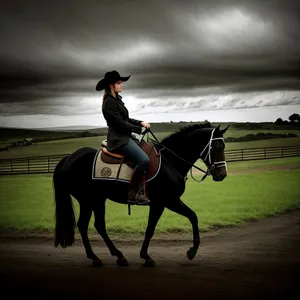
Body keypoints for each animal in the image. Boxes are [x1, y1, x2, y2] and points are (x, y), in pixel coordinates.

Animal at [52, 123, 229, 266]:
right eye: (216, 148)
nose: (222, 174)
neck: (169, 161)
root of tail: (69, 158)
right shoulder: (165, 202)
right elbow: (151, 228)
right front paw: (147, 256)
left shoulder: (169, 201)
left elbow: (193, 216)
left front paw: (192, 250)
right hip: (88, 200)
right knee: (85, 225)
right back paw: (98, 257)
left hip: (97, 200)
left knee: (96, 226)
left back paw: (116, 256)